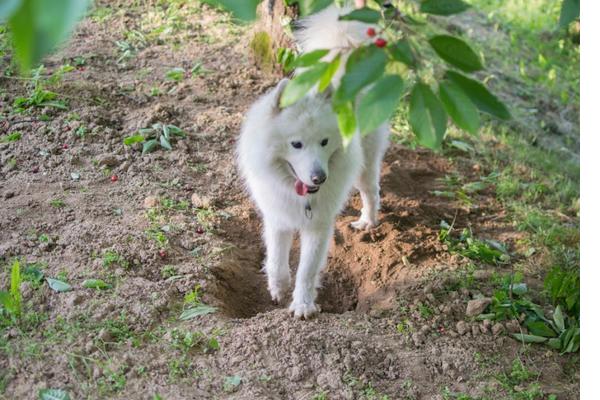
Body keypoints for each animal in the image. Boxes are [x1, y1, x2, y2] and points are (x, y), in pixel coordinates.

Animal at [236, 4, 390, 318]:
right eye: (296, 144)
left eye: (325, 142)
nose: (320, 177)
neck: (301, 197)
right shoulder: (277, 217)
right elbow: (276, 259)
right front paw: (278, 288)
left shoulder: (318, 226)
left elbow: (306, 271)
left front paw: (303, 305)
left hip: (366, 162)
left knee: (371, 190)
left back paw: (367, 222)